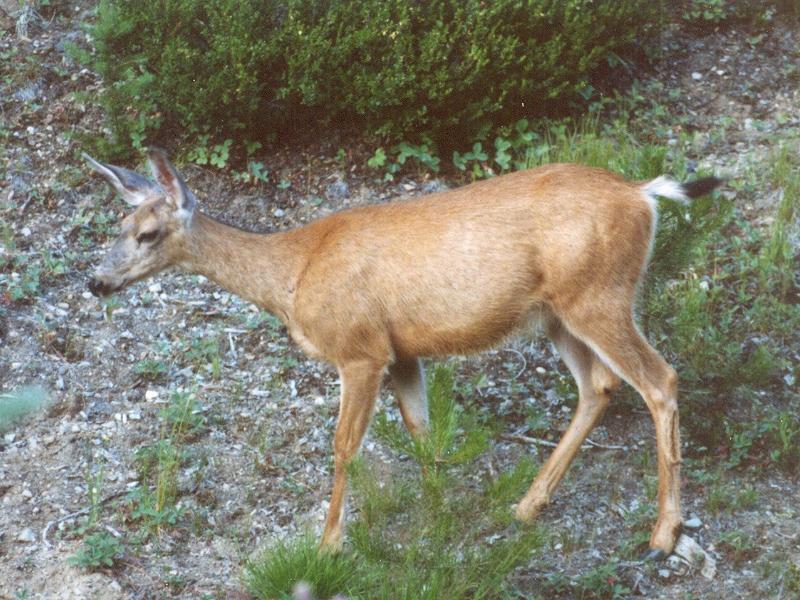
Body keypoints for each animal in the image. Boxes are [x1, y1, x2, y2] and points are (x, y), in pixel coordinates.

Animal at [84, 148, 720, 560]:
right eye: (119, 223)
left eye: (147, 234)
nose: (96, 282)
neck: (292, 274)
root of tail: (642, 194)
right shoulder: (403, 353)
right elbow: (422, 433)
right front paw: (443, 517)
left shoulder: (360, 349)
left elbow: (344, 448)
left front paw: (329, 545)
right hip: (559, 313)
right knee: (600, 387)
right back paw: (525, 507)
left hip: (598, 296)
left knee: (660, 379)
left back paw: (662, 536)